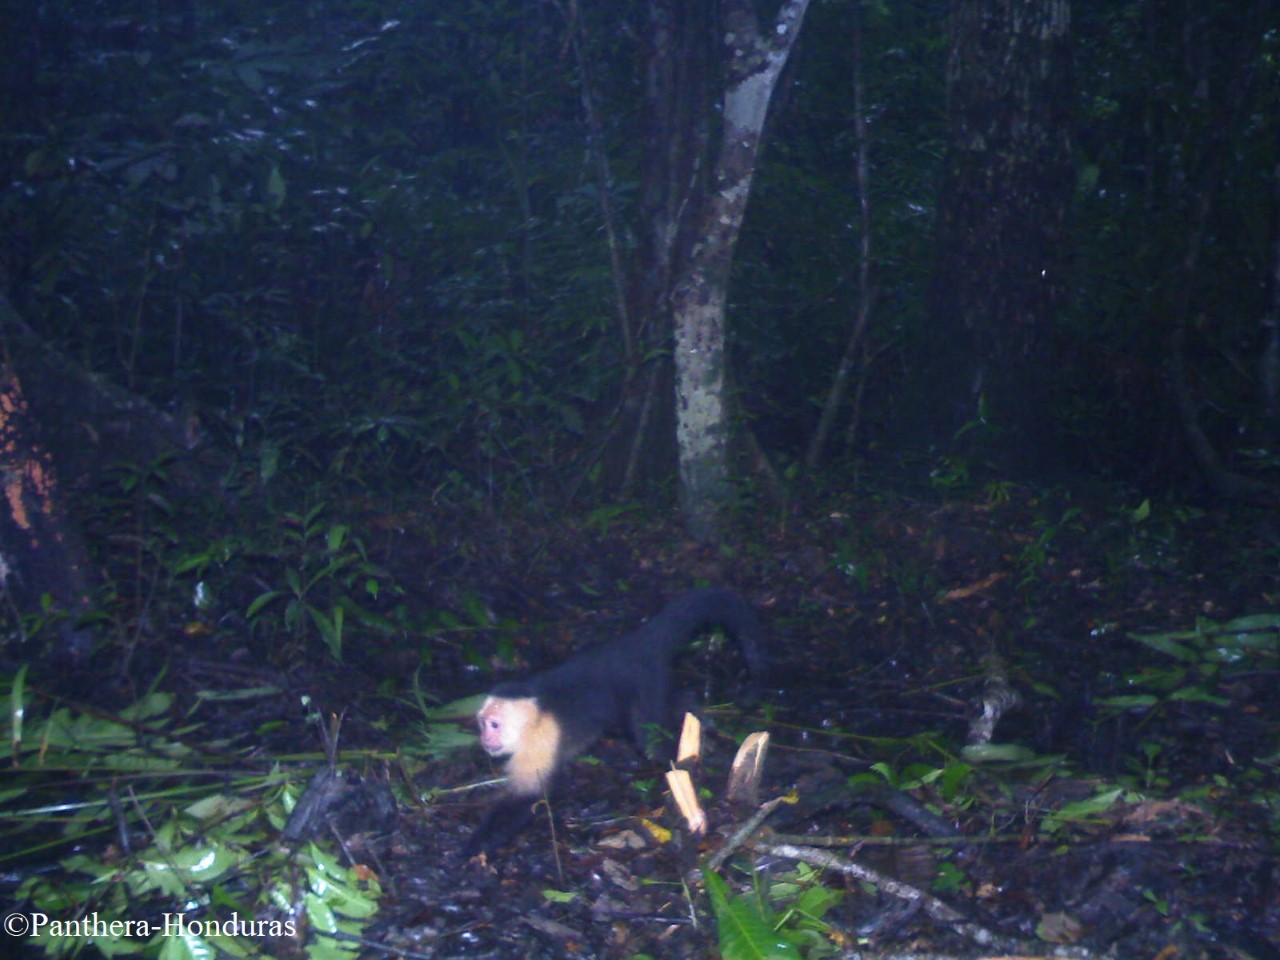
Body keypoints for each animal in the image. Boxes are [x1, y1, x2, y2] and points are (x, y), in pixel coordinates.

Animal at [463, 588, 765, 857]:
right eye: (482, 724)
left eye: (494, 725)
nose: (484, 739)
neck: (535, 717)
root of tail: (637, 641)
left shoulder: (540, 739)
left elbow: (524, 797)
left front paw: (471, 849)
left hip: (646, 682)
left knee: (651, 739)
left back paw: (687, 761)